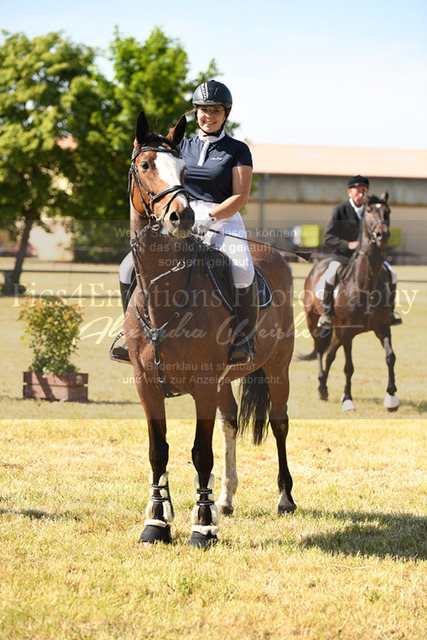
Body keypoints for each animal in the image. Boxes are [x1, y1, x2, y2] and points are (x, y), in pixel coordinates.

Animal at [123, 110, 296, 547]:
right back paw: (226, 499)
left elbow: (201, 453)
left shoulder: (201, 385)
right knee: (230, 421)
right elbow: (158, 451)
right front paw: (157, 522)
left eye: (184, 169)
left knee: (280, 423)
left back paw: (285, 497)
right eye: (145, 165)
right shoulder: (147, 385)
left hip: (277, 367)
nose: (182, 217)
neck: (165, 294)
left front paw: (201, 527)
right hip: (223, 381)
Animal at [302, 192, 399, 412]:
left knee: (329, 354)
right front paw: (347, 399)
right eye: (369, 211)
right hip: (315, 322)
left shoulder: (383, 327)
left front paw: (391, 397)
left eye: (387, 211)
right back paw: (321, 387)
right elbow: (349, 367)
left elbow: (390, 357)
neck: (367, 284)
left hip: (337, 332)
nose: (382, 235)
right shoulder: (347, 331)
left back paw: (324, 388)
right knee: (320, 350)